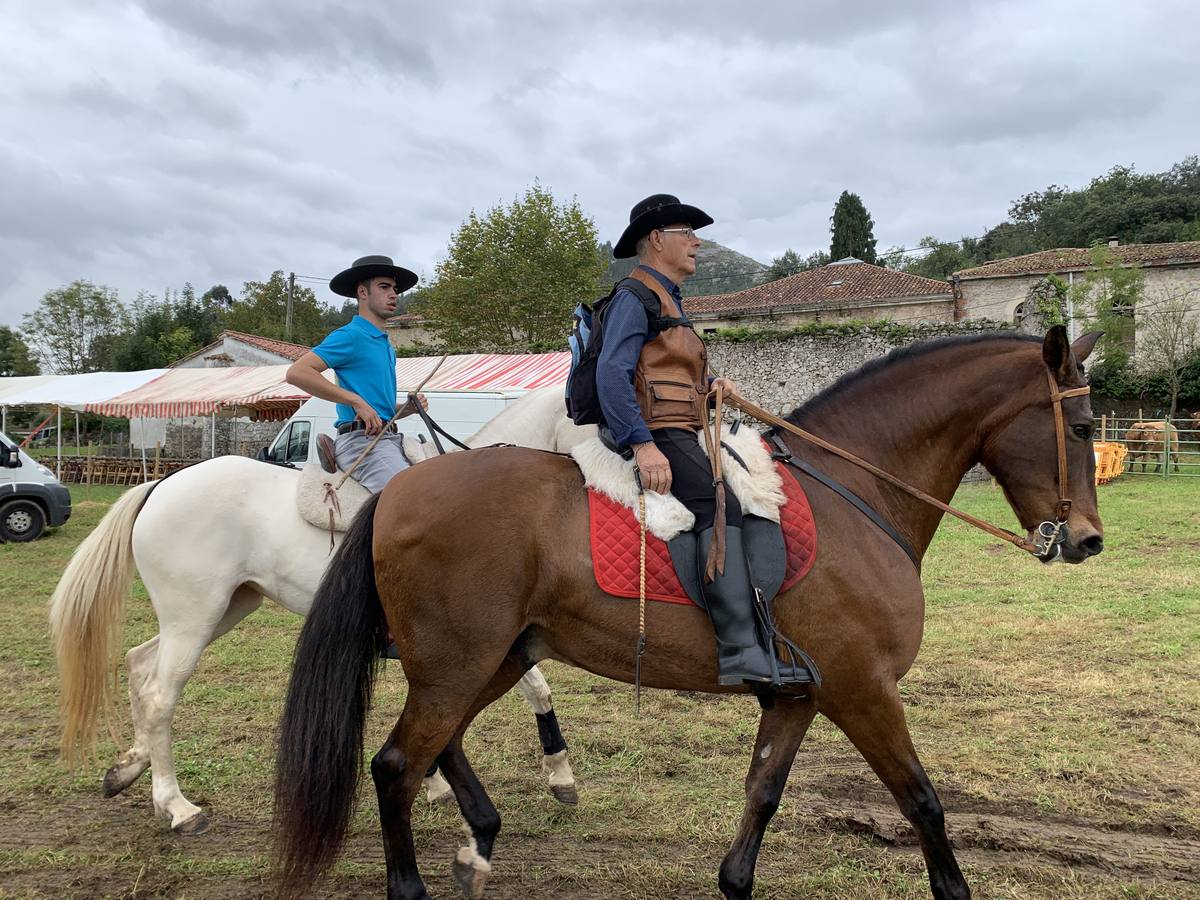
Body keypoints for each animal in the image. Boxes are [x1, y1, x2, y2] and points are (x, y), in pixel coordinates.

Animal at [51, 388, 595, 840]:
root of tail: (161, 485)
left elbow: (529, 692)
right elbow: (528, 690)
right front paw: (556, 774)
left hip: (222, 609)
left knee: (140, 666)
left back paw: (128, 768)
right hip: (194, 619)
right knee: (161, 696)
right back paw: (178, 806)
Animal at [274, 331, 1104, 900]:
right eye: (1084, 429)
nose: (1089, 540)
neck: (855, 495)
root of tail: (400, 490)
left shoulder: (800, 696)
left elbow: (762, 797)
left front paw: (735, 878)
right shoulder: (863, 690)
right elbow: (923, 802)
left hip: (494, 658)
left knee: (435, 749)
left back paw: (481, 838)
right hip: (459, 663)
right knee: (395, 767)